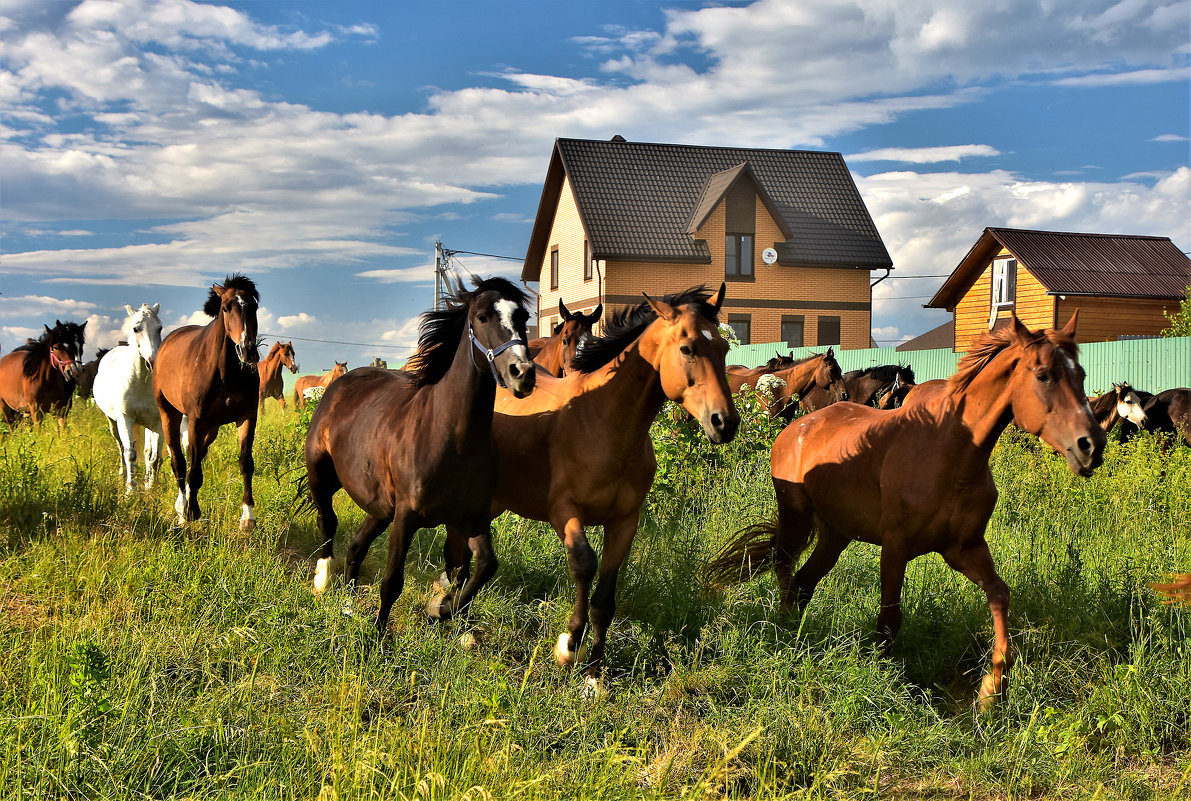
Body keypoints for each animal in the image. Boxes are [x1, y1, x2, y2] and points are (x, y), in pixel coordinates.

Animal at [94, 303, 164, 490]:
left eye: (159, 328)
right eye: (135, 329)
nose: (152, 362)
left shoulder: (158, 423)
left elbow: (154, 458)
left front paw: (150, 488)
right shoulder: (125, 419)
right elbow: (130, 454)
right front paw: (130, 489)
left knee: (147, 452)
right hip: (113, 422)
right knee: (120, 447)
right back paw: (121, 473)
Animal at [153, 274, 263, 530]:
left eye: (254, 306)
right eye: (226, 307)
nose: (248, 351)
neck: (225, 372)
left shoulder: (247, 417)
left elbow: (246, 463)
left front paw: (248, 517)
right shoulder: (196, 420)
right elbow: (192, 469)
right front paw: (191, 511)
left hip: (211, 428)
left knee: (197, 455)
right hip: (169, 414)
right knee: (179, 461)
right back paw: (182, 509)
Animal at [304, 274, 533, 633]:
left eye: (523, 317)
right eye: (482, 317)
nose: (522, 373)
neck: (452, 439)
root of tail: (339, 383)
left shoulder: (469, 518)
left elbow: (480, 567)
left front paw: (443, 610)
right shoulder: (407, 518)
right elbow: (392, 581)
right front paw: (378, 636)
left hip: (380, 507)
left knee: (356, 546)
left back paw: (349, 603)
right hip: (322, 477)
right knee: (327, 523)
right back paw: (322, 582)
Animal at [443, 284, 738, 685]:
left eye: (723, 349)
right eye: (687, 348)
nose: (725, 422)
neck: (603, 421)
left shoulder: (625, 522)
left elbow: (605, 598)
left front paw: (595, 673)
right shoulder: (564, 512)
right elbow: (584, 564)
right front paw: (569, 646)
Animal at [705, 311, 1105, 704]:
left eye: (1081, 375)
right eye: (1044, 375)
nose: (1092, 445)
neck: (952, 451)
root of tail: (797, 426)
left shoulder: (965, 549)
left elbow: (1000, 595)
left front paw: (992, 691)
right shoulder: (895, 550)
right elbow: (889, 621)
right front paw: (883, 684)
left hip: (836, 534)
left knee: (803, 582)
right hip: (796, 517)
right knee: (784, 566)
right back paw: (784, 632)